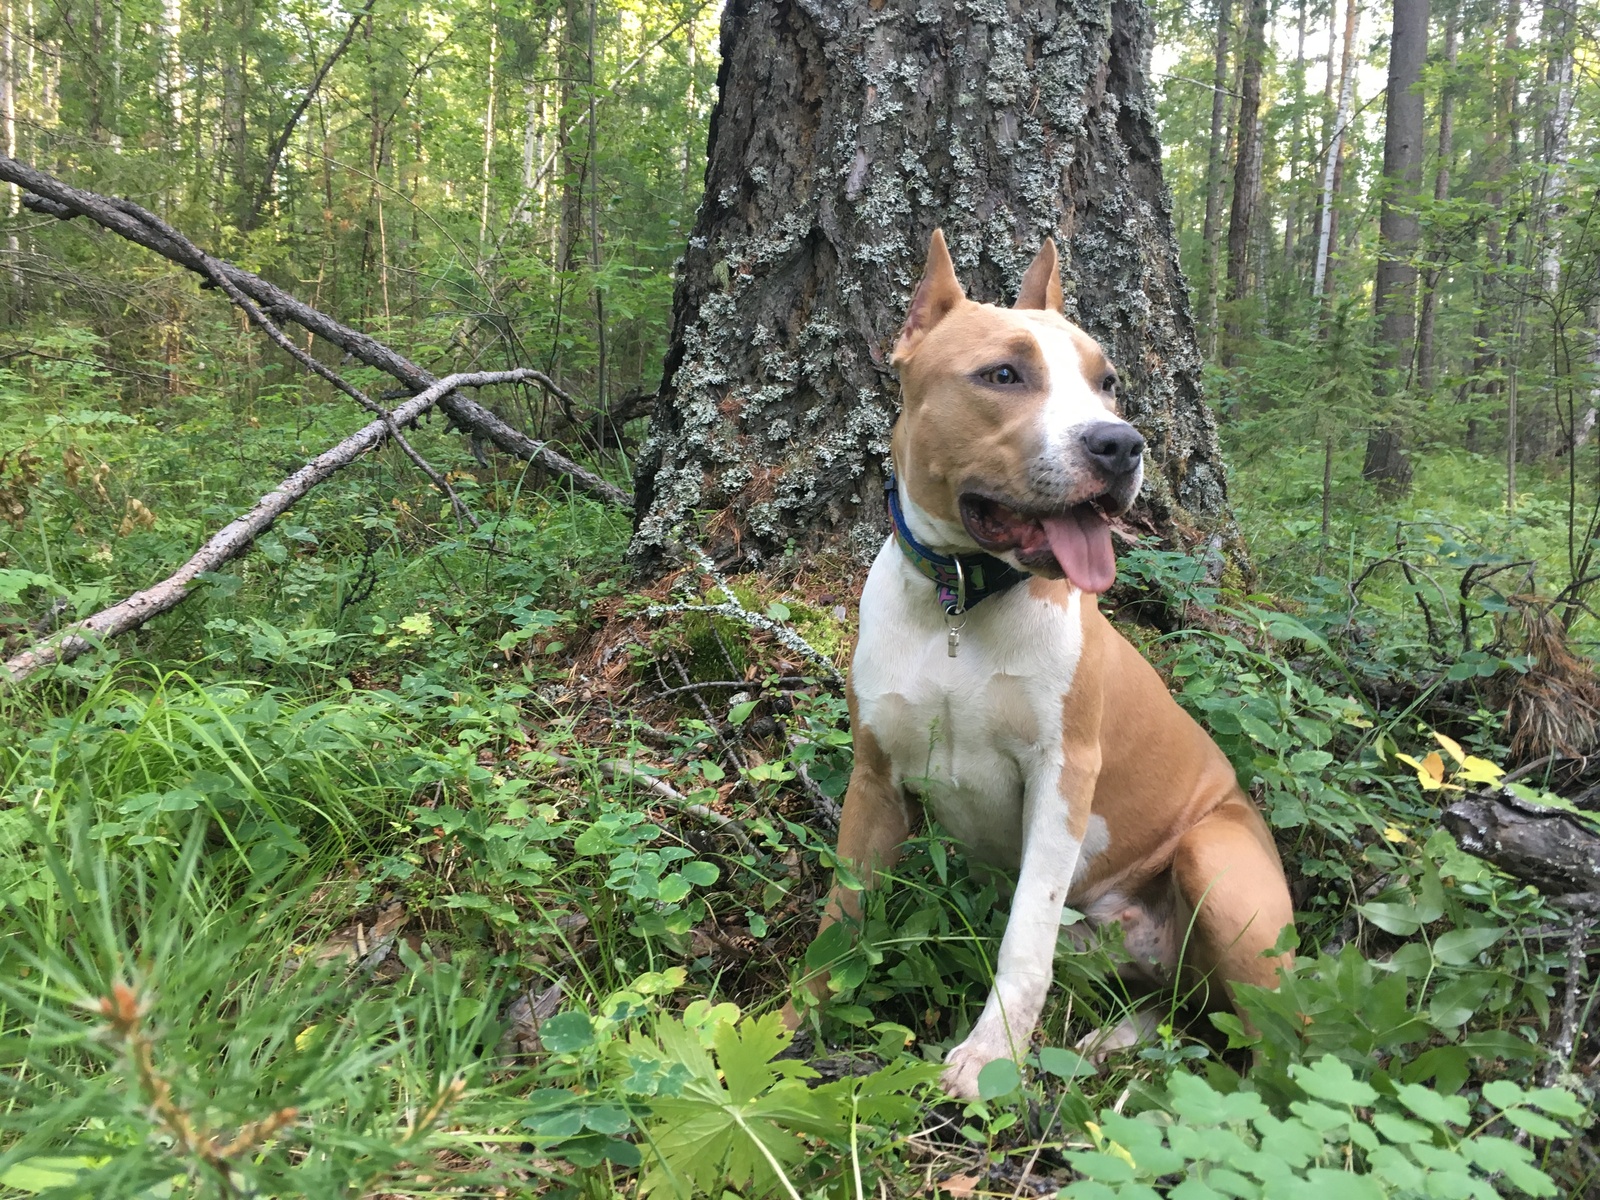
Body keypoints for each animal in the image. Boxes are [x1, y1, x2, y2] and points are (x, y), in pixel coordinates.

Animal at [793, 232, 1292, 1100]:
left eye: (1108, 381)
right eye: (1003, 374)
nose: (1120, 444)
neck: (961, 602)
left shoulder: (1062, 777)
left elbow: (1024, 940)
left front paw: (990, 1057)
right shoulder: (874, 781)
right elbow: (840, 918)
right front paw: (790, 1021)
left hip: (1217, 864)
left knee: (1274, 1055)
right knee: (1187, 1008)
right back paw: (1115, 1038)